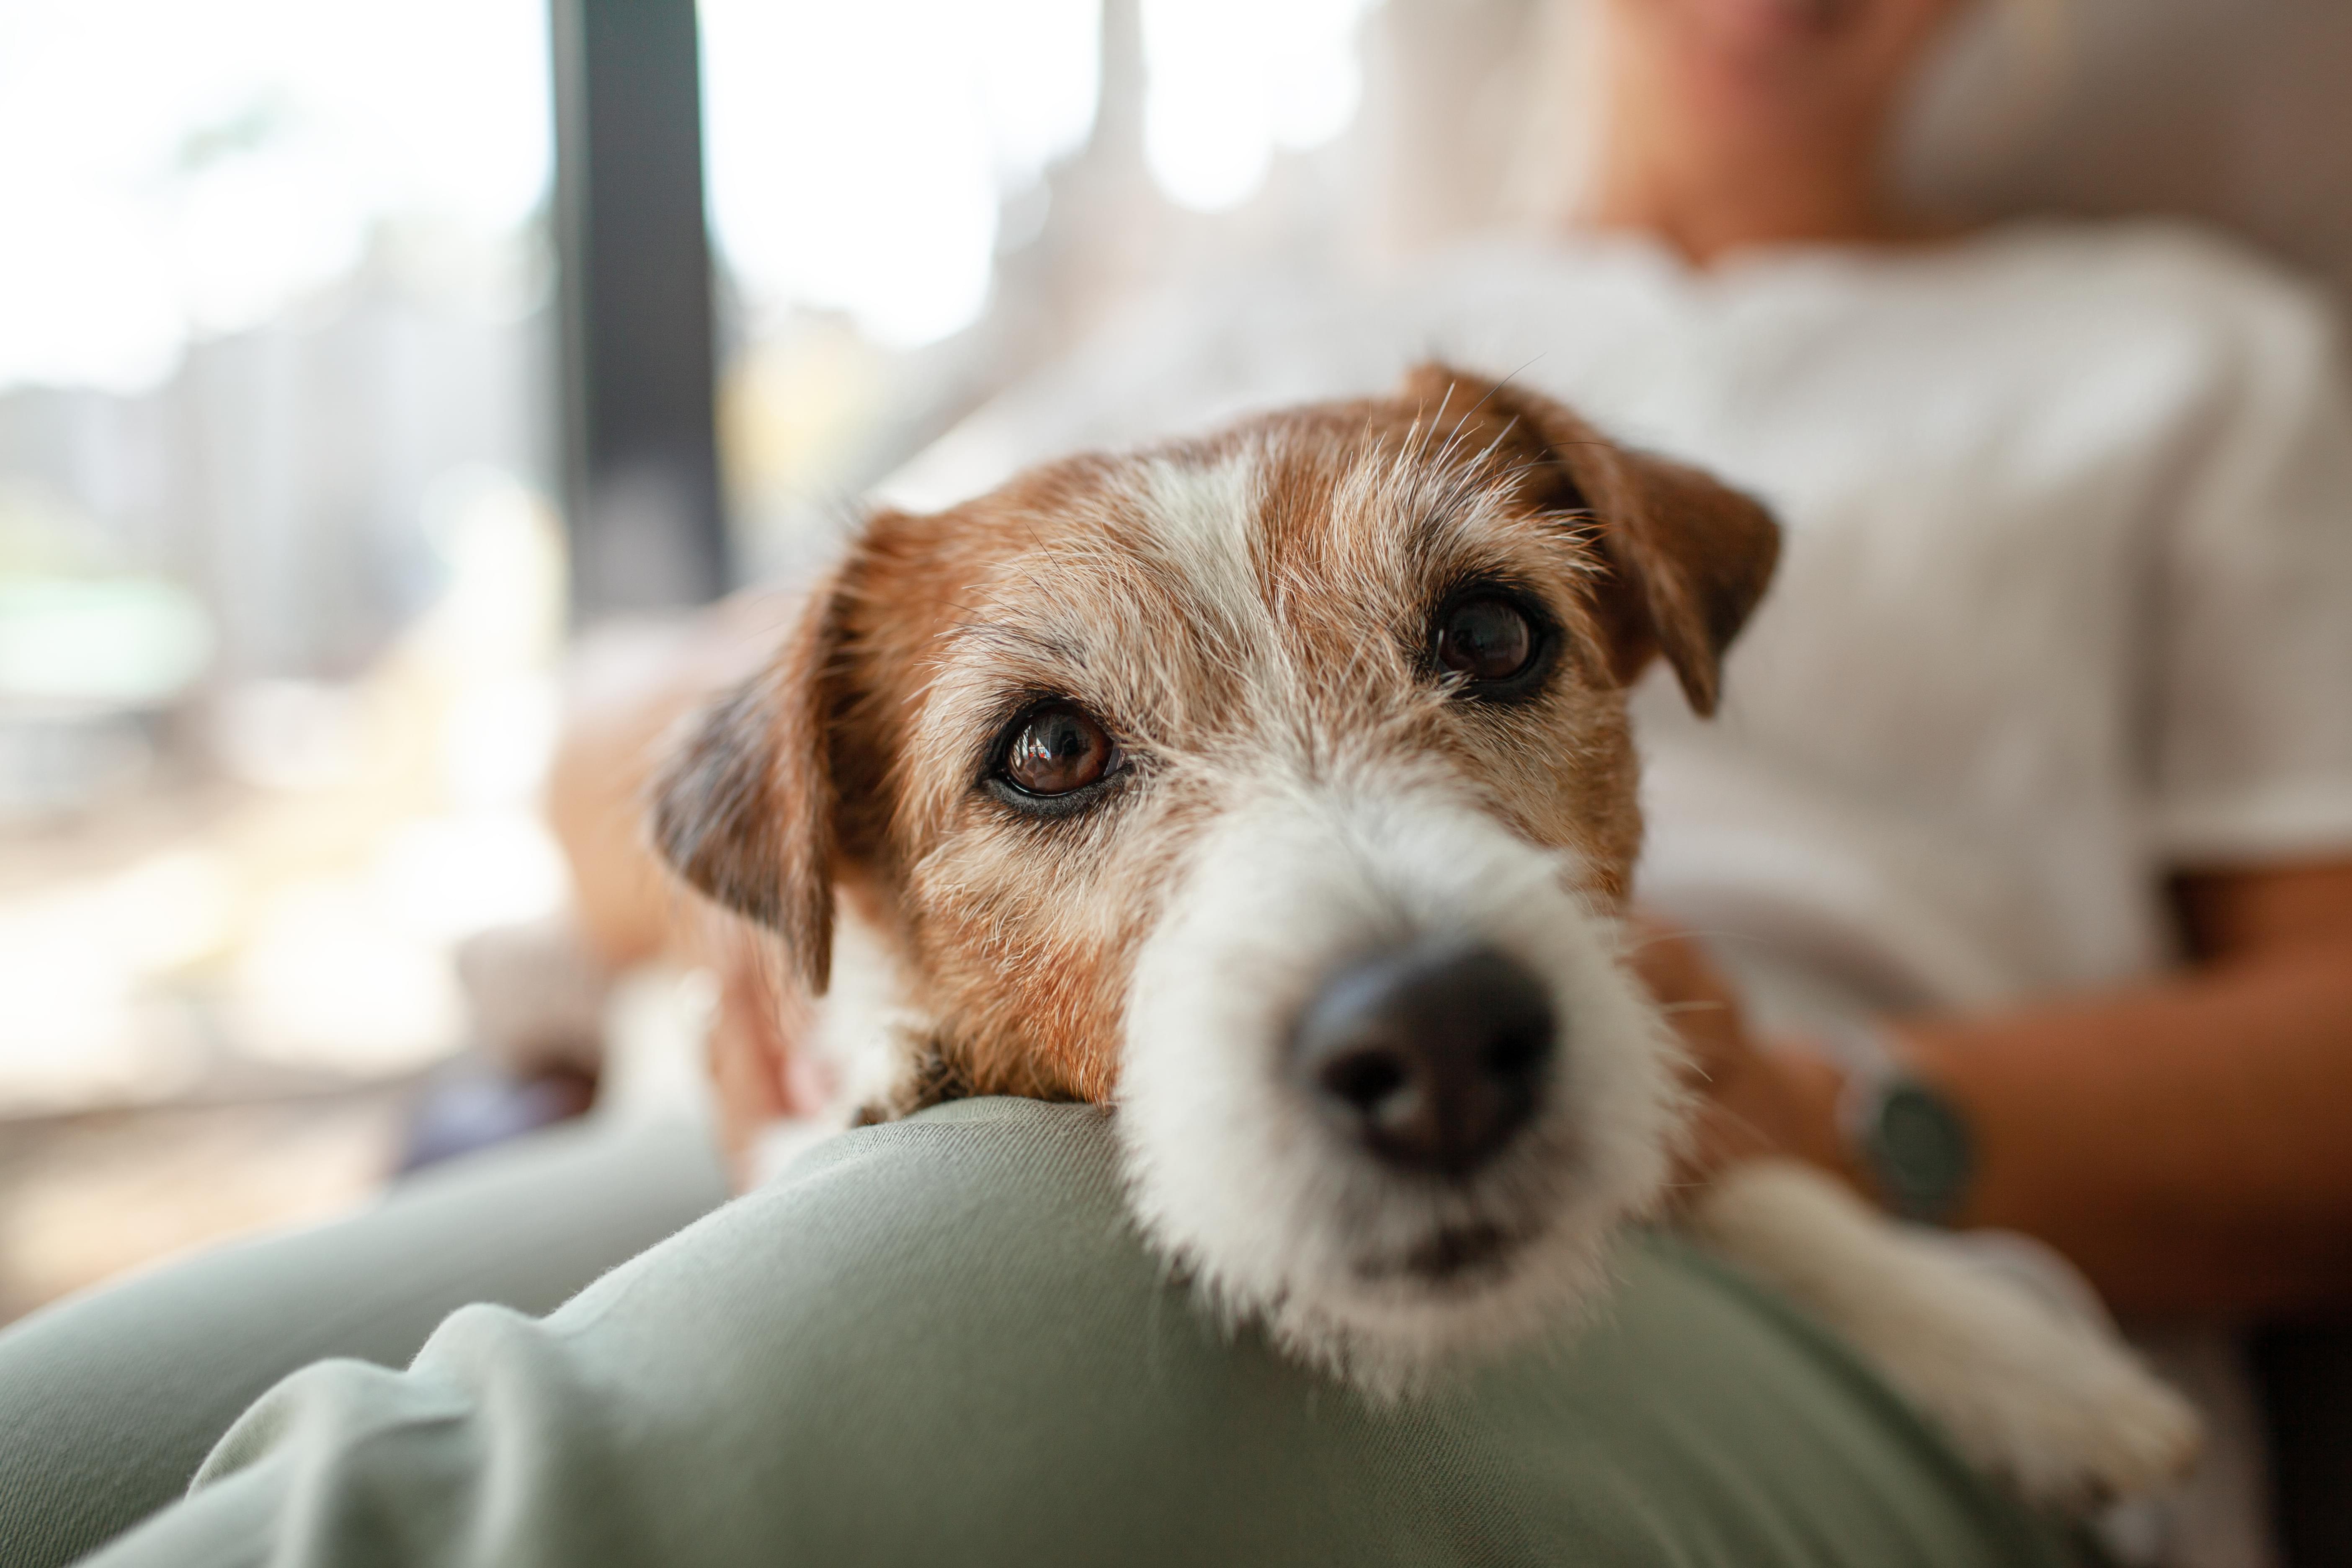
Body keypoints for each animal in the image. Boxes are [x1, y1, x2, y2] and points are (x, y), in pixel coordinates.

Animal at [649, 364, 2201, 1504]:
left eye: (1493, 634)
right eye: (1046, 749)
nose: (1440, 1035)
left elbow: (1751, 1175)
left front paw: (2015, 1357)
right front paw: (892, 1063)